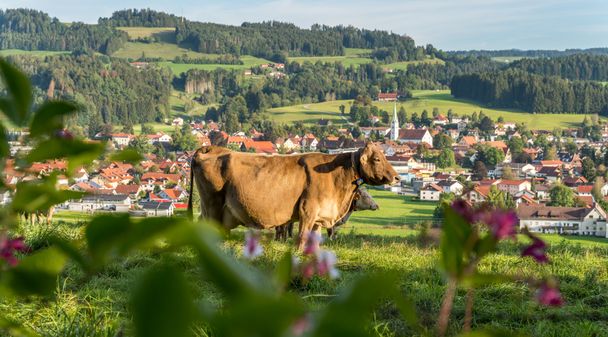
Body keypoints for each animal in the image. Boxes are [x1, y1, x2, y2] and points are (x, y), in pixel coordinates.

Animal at [189, 140, 400, 248]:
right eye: (377, 158)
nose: (397, 178)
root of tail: (210, 147)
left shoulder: (319, 217)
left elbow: (314, 242)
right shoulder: (307, 211)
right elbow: (301, 239)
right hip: (212, 205)